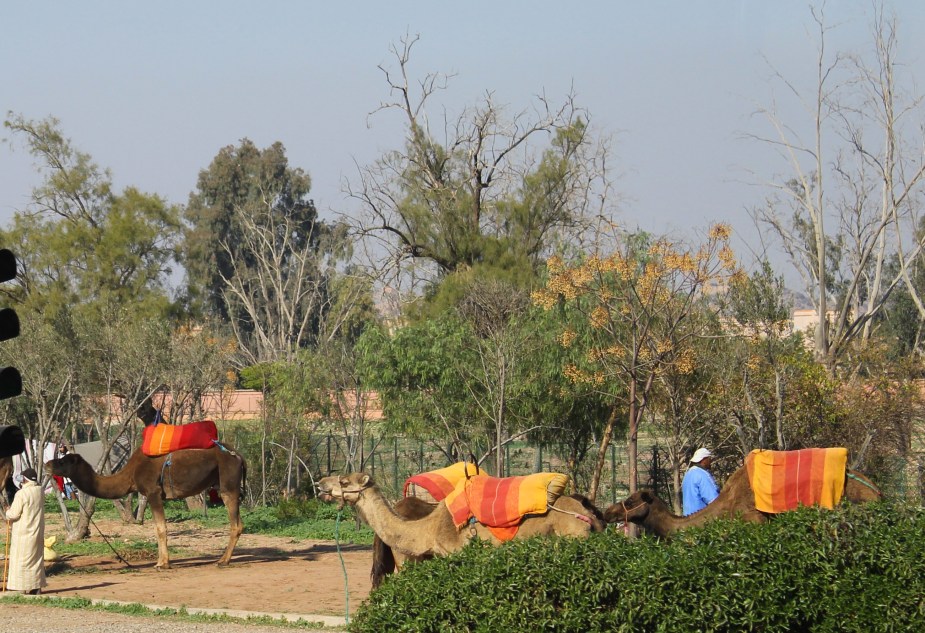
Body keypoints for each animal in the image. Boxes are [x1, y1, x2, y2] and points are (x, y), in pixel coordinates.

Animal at [46, 446, 246, 569]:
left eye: (62, 461)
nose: (47, 465)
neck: (130, 475)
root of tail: (239, 456)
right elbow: (158, 528)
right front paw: (161, 561)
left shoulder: (152, 492)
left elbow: (160, 528)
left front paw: (162, 564)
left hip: (228, 484)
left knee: (235, 523)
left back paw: (223, 560)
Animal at [319, 472, 604, 566]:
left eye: (344, 481)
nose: (320, 484)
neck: (429, 529)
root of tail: (589, 514)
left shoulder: (457, 554)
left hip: (572, 537)